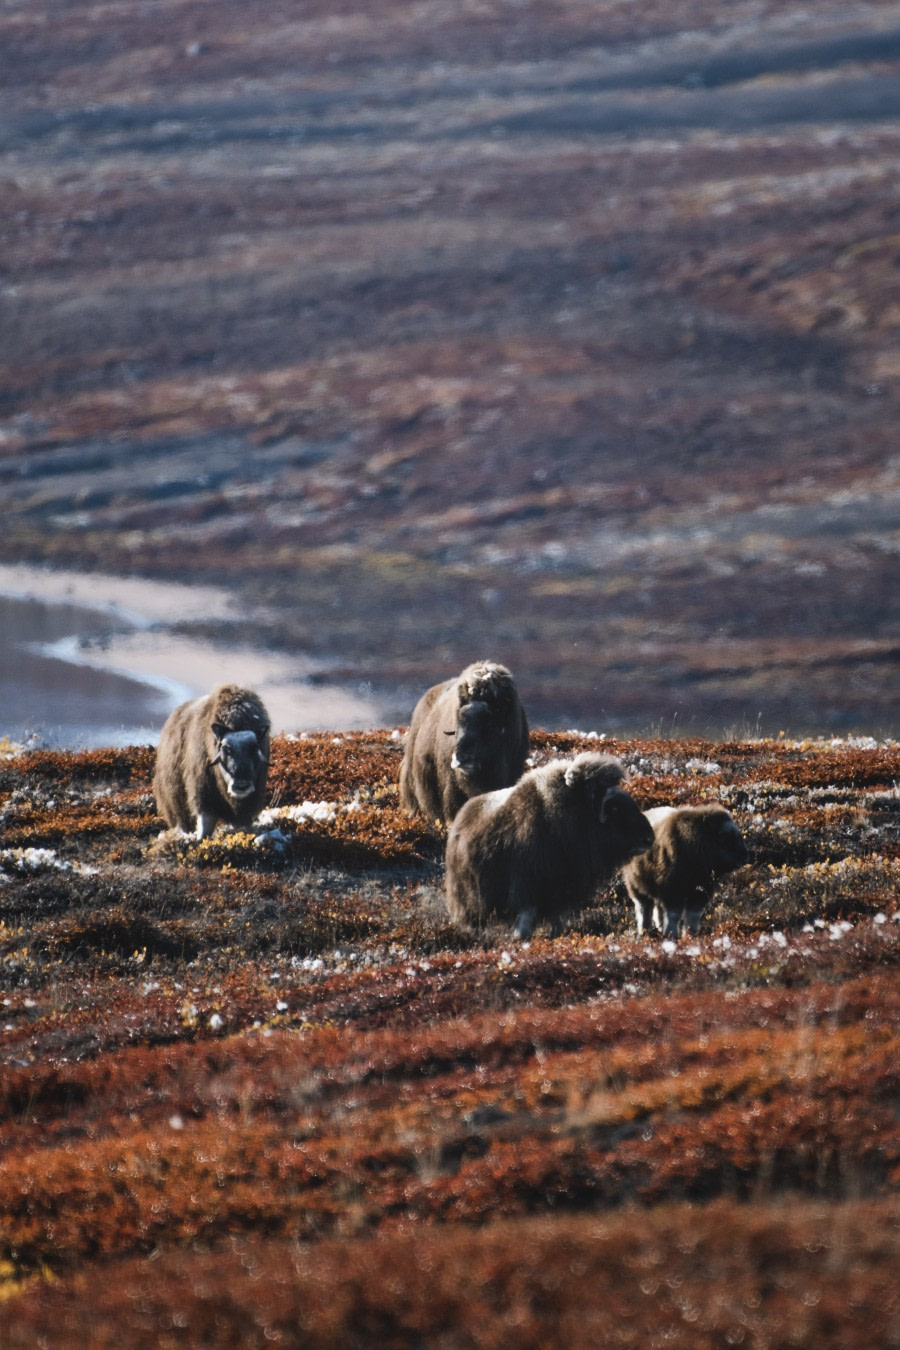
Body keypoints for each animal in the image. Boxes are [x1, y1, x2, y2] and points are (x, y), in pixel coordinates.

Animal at [153, 680, 271, 837]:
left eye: (254, 747)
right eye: (226, 749)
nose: (241, 786)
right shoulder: (202, 792)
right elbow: (206, 819)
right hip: (173, 796)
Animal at [445, 750, 650, 939]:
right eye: (614, 808)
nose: (649, 837)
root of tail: (459, 821)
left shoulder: (559, 889)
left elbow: (557, 917)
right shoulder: (529, 883)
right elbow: (527, 915)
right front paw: (521, 938)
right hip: (469, 892)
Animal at [623, 799, 750, 939]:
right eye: (723, 835)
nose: (746, 856)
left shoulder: (699, 892)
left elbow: (693, 915)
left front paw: (690, 934)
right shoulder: (673, 890)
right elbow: (674, 915)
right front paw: (672, 934)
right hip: (637, 888)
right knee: (644, 909)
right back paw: (644, 933)